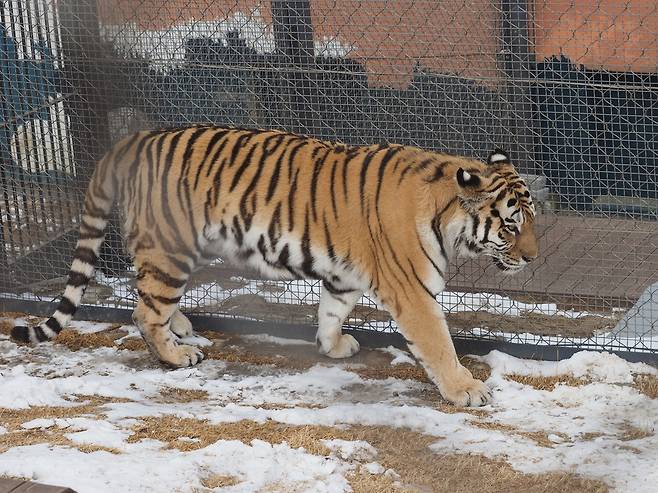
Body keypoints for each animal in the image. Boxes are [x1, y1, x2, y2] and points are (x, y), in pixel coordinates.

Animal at [10, 125, 536, 406]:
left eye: (532, 221)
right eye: (511, 226)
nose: (532, 257)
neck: (448, 215)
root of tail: (136, 139)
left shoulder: (344, 275)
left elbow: (331, 311)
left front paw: (333, 346)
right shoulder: (413, 292)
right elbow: (439, 344)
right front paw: (467, 389)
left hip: (178, 249)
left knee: (150, 298)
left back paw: (181, 329)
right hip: (172, 247)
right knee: (143, 311)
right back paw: (177, 355)